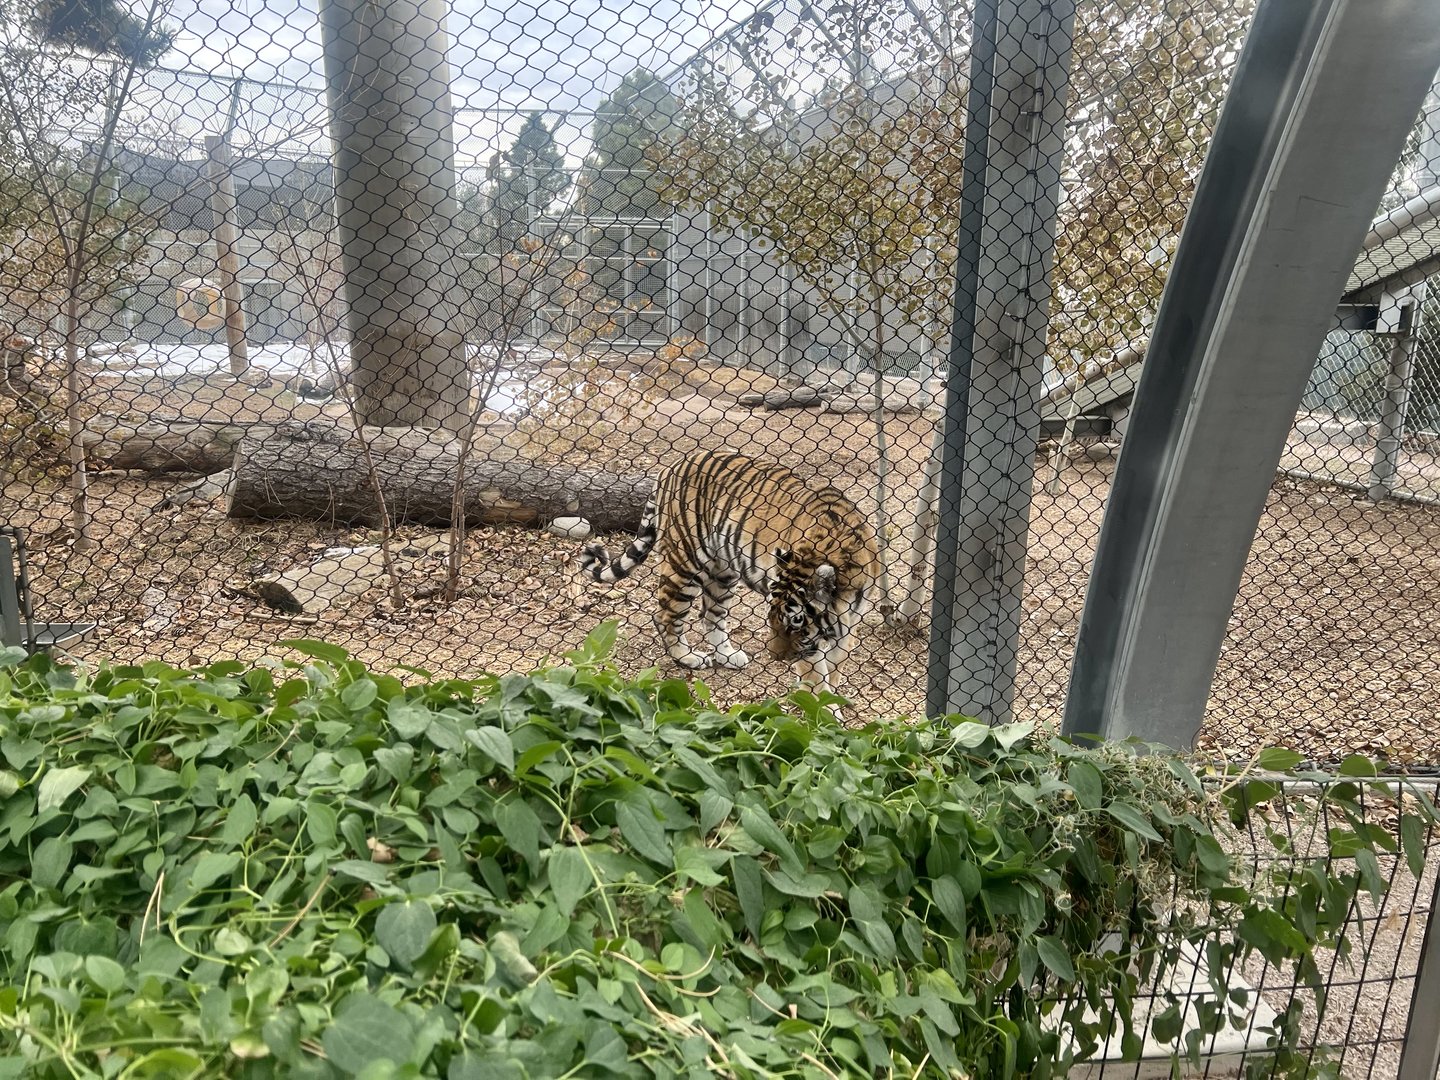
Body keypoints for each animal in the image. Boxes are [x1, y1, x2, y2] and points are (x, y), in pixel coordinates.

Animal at [578, 449, 880, 693]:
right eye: (772, 617)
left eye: (795, 622)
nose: (775, 657)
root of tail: (671, 466)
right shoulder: (814, 641)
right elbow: (817, 676)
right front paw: (823, 710)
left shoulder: (849, 622)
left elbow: (836, 665)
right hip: (685, 563)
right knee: (665, 615)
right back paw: (688, 657)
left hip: (722, 573)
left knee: (711, 616)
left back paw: (727, 655)